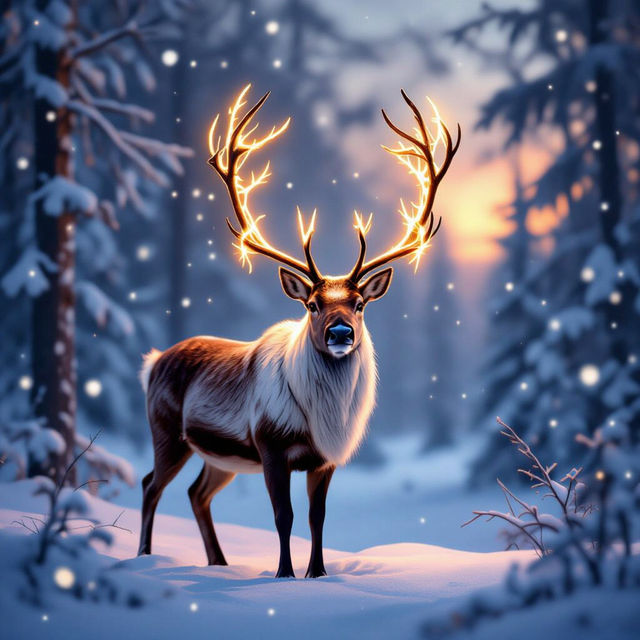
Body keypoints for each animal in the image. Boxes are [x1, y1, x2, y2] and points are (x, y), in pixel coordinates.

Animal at [137, 85, 460, 578]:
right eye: (312, 305)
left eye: (360, 304)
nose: (341, 332)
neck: (323, 420)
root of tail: (153, 361)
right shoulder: (269, 442)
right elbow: (283, 515)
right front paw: (285, 574)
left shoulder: (324, 459)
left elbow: (317, 516)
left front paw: (318, 573)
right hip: (167, 429)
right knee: (150, 484)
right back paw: (145, 557)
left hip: (219, 456)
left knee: (196, 492)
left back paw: (218, 563)